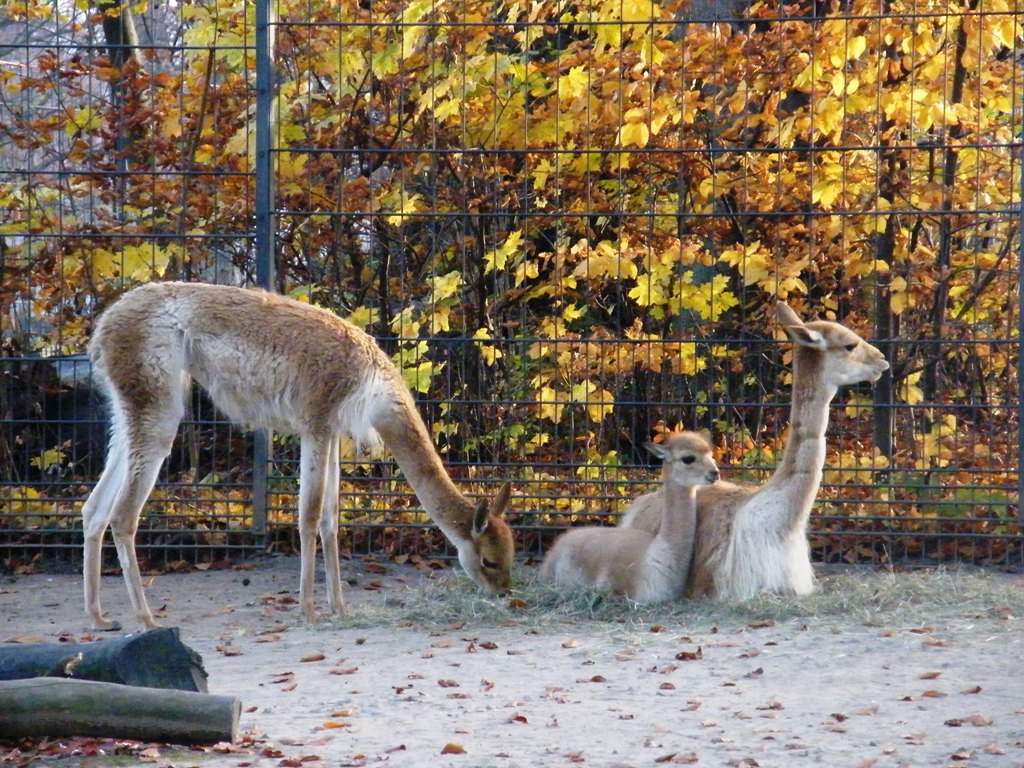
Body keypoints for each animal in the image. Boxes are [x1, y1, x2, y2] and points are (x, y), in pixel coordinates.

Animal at [82, 281, 515, 631]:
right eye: (489, 561)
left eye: (510, 557)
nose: (503, 594)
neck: (373, 387)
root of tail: (102, 329)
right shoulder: (316, 423)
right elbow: (308, 516)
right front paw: (308, 610)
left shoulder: (334, 432)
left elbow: (331, 519)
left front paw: (339, 607)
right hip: (156, 400)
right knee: (123, 515)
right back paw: (146, 619)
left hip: (128, 410)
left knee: (94, 507)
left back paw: (100, 617)